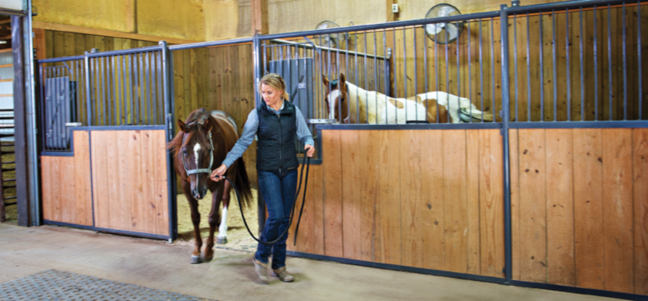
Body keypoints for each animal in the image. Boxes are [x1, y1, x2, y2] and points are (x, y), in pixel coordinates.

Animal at [168, 108, 252, 262]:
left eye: (208, 149)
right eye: (184, 151)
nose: (198, 191)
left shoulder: (219, 182)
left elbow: (212, 217)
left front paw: (208, 251)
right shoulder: (186, 185)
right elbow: (195, 217)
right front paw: (196, 250)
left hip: (229, 175)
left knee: (225, 200)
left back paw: (222, 233)